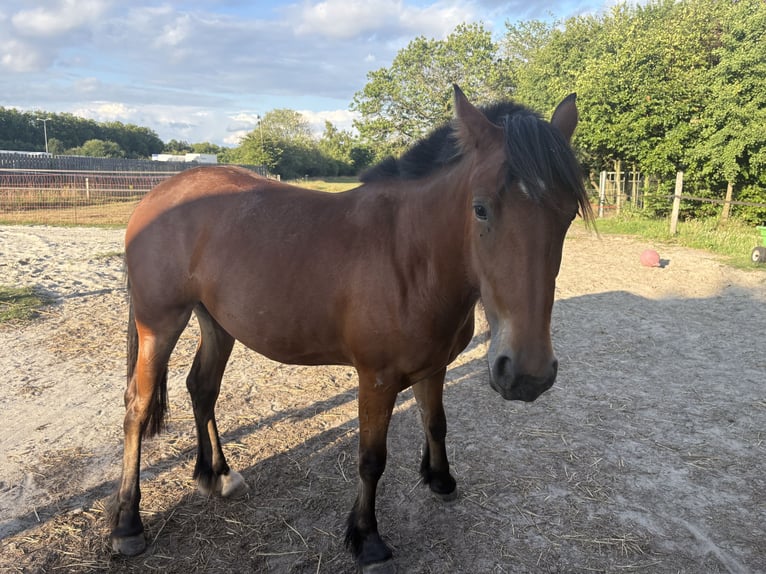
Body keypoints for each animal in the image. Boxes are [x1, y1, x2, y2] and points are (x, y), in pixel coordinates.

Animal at [109, 85, 592, 572]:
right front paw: (368, 539)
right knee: (137, 407)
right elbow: (371, 459)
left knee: (202, 388)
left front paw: (441, 480)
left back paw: (217, 475)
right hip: (159, 323)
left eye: (569, 213)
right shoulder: (375, 380)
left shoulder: (434, 366)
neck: (410, 256)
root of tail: (157, 194)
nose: (527, 375)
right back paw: (128, 524)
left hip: (217, 322)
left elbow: (436, 423)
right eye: (480, 209)